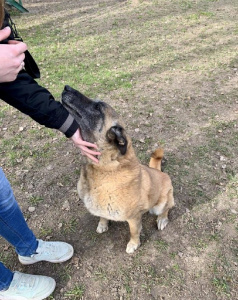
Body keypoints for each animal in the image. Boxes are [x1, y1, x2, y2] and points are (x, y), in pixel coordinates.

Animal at [61, 85, 175, 253]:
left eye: (98, 107)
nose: (66, 87)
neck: (105, 167)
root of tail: (161, 173)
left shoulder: (133, 218)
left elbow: (134, 232)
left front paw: (133, 244)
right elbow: (102, 216)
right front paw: (103, 224)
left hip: (161, 204)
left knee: (166, 209)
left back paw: (162, 220)